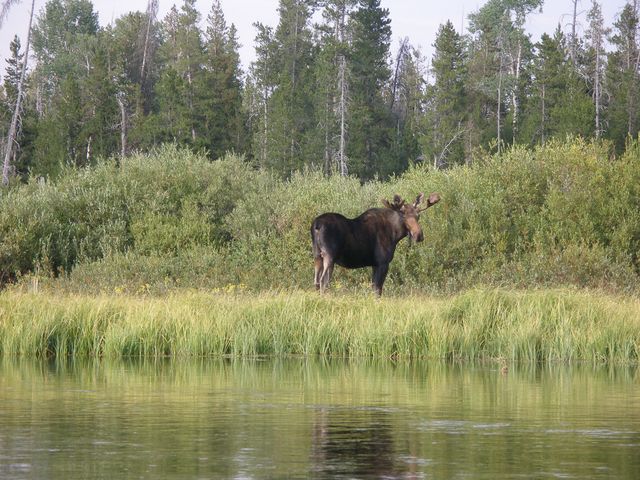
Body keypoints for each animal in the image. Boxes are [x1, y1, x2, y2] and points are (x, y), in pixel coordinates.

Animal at [310, 193, 440, 294]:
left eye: (418, 216)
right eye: (403, 216)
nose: (419, 235)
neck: (395, 234)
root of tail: (317, 225)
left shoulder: (374, 264)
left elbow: (374, 288)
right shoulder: (382, 262)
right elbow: (378, 290)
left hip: (317, 255)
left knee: (316, 281)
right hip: (329, 255)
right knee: (323, 281)